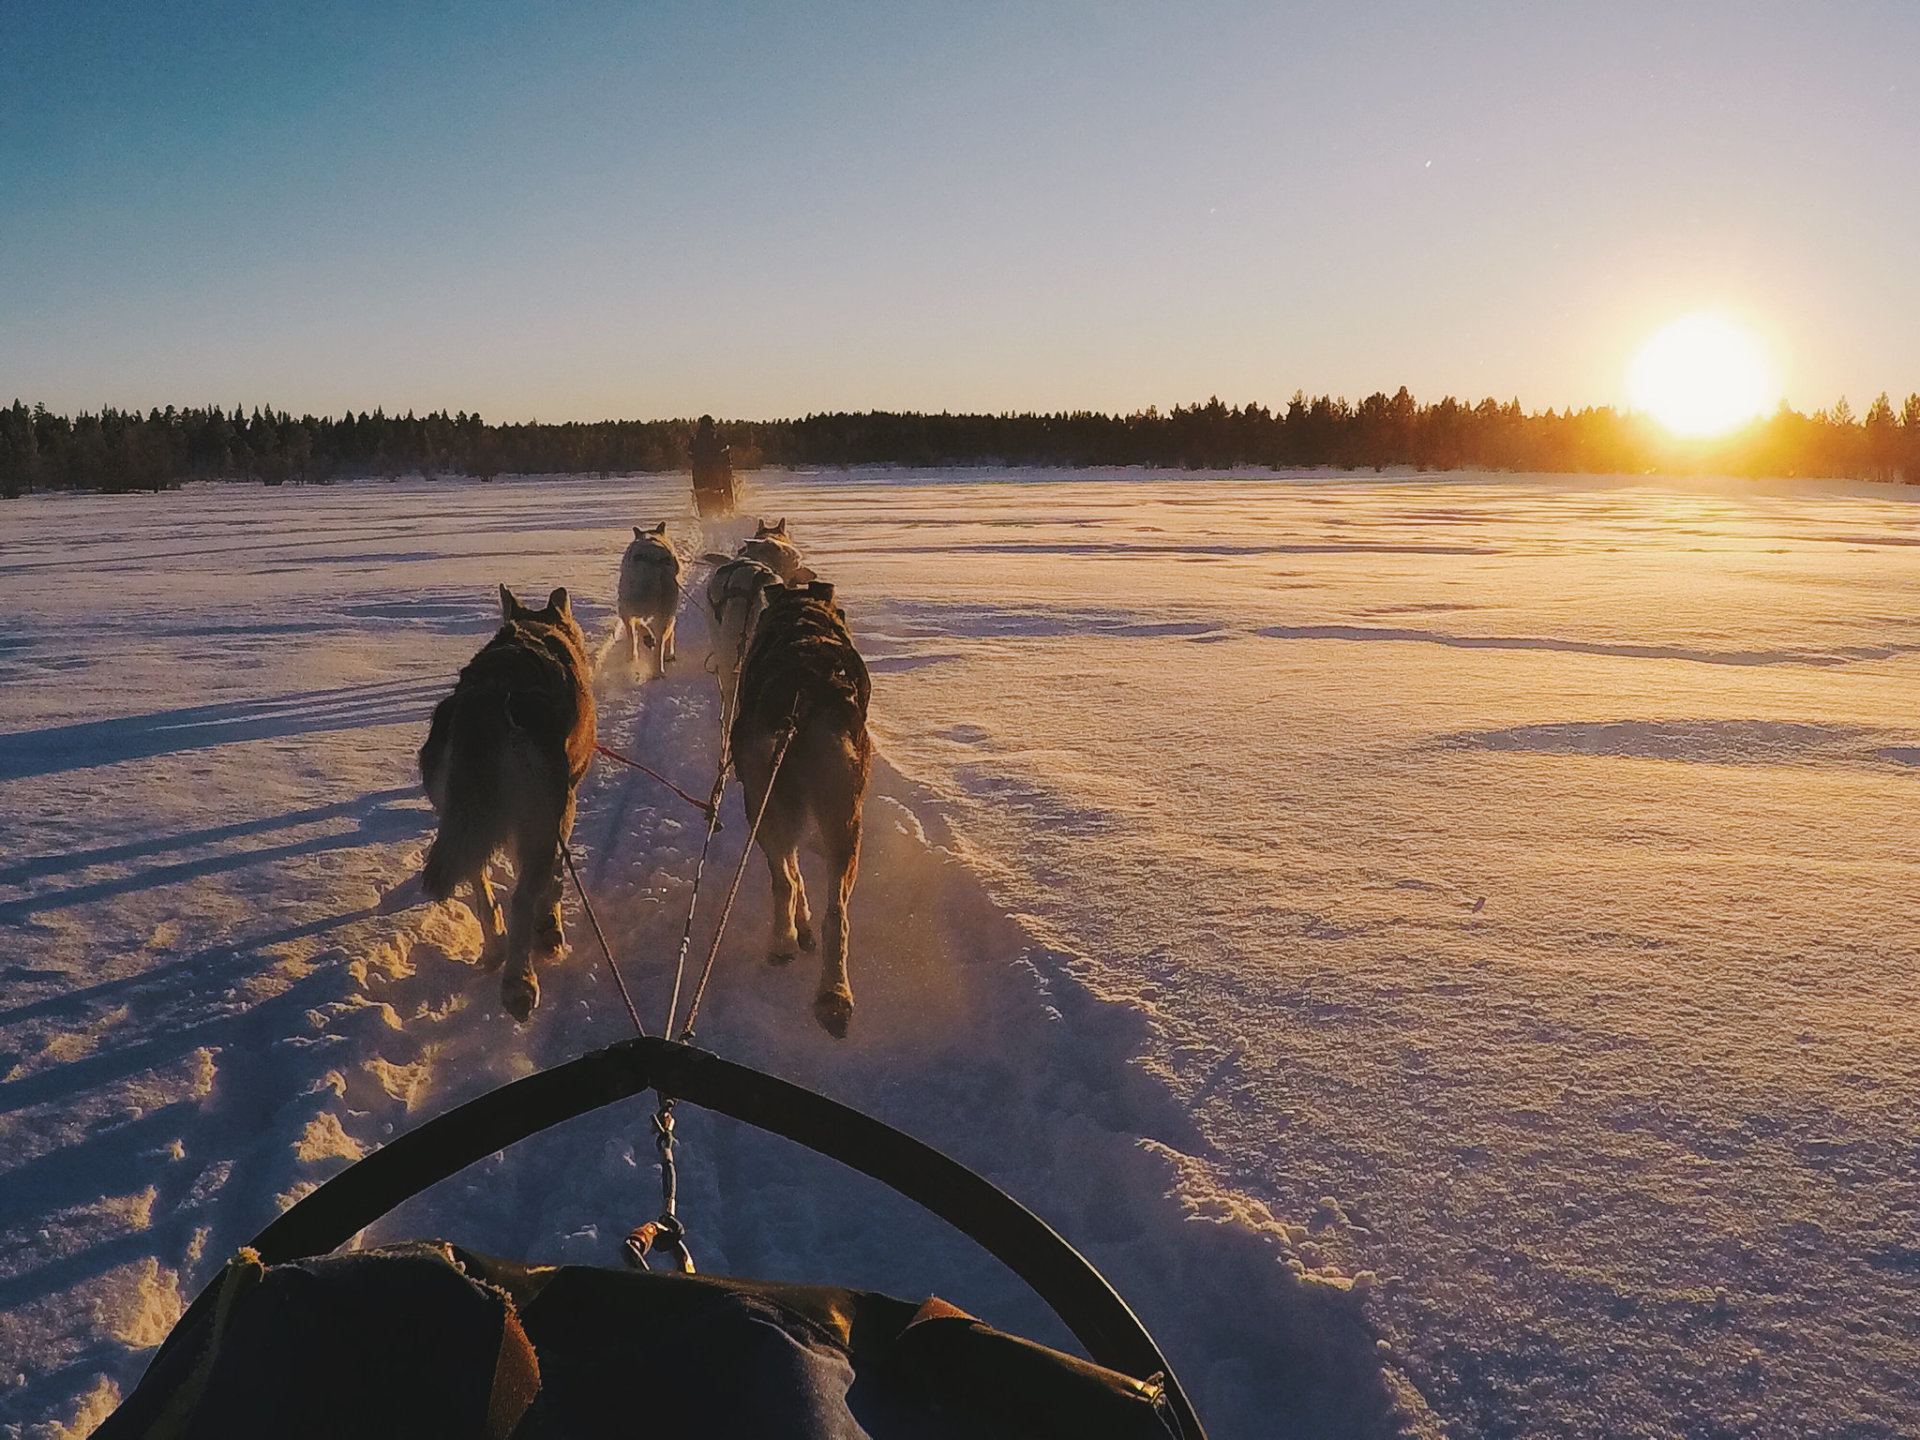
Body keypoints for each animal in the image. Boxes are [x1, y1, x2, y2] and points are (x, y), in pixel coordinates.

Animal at [422, 587, 595, 1029]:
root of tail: (488, 698)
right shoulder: (562, 810)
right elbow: (552, 882)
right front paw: (549, 928)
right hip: (541, 821)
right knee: (521, 898)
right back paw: (520, 984)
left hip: (464, 820)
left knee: (481, 886)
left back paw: (495, 950)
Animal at [614, 526, 683, 683]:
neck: (651, 537)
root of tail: (654, 567)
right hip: (665, 611)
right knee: (661, 640)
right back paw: (658, 669)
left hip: (627, 605)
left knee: (637, 632)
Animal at [725, 579, 871, 1036]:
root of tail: (802, 692)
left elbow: (791, 872)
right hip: (843, 820)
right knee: (836, 914)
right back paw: (834, 995)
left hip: (763, 804)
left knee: (785, 881)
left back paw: (785, 942)